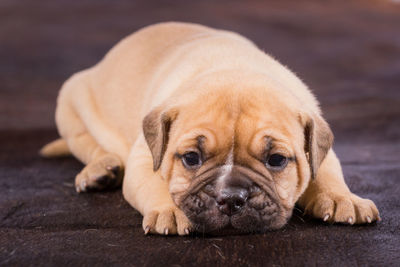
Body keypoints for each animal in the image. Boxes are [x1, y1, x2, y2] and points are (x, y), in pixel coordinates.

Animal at [39, 22, 378, 237]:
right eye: (191, 158)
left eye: (277, 160)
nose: (230, 198)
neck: (235, 68)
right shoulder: (144, 158)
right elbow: (154, 183)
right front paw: (170, 210)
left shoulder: (319, 146)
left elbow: (328, 173)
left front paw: (343, 198)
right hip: (70, 103)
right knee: (87, 143)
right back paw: (101, 169)